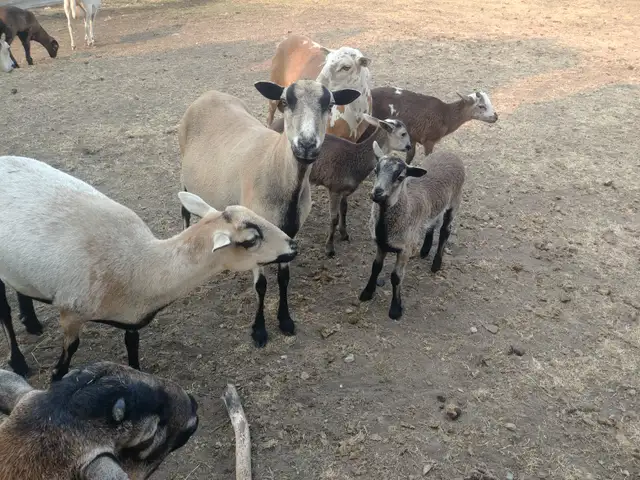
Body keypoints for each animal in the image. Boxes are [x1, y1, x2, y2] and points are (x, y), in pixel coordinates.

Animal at [0, 155, 298, 381]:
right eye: (251, 240)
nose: (293, 246)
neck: (142, 263)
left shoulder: (132, 317)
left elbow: (133, 349)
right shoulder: (71, 314)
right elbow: (69, 353)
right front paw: (55, 378)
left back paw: (32, 322)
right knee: (5, 313)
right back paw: (18, 361)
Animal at [180, 80, 361, 347]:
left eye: (329, 104)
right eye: (284, 101)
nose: (307, 145)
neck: (275, 165)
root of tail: (210, 94)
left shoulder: (289, 233)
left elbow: (284, 279)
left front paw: (285, 320)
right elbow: (261, 286)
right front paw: (259, 330)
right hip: (183, 175)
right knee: (185, 209)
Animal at [271, 113, 412, 257]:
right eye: (403, 133)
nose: (409, 146)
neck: (355, 160)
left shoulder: (345, 189)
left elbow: (344, 210)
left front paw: (344, 234)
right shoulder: (335, 188)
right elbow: (334, 218)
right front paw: (329, 247)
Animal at [359, 144, 465, 320]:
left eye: (400, 177)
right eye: (375, 170)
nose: (377, 193)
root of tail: (450, 153)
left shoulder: (405, 249)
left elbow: (396, 277)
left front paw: (395, 309)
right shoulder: (381, 244)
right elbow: (375, 267)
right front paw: (367, 293)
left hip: (455, 201)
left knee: (445, 230)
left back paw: (436, 264)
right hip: (435, 206)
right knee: (432, 222)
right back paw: (425, 249)